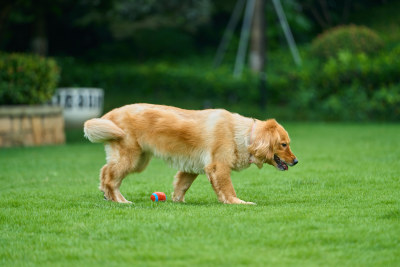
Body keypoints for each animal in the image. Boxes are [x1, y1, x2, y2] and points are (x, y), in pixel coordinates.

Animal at [84, 103, 296, 204]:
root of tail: (110, 115)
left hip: (138, 159)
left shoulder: (191, 168)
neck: (244, 135)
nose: (296, 161)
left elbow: (181, 186)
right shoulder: (219, 166)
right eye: (284, 144)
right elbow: (228, 189)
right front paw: (238, 202)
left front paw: (178, 202)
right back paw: (121, 201)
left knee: (105, 172)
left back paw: (108, 196)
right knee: (110, 178)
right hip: (132, 158)